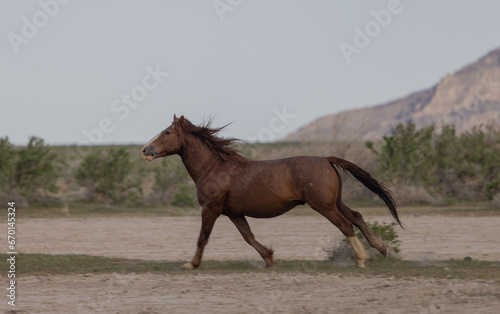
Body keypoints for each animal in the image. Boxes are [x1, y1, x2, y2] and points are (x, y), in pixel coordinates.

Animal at [142, 114, 402, 268]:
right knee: (356, 217)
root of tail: (326, 159)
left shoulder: (211, 209)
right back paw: (382, 248)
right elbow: (248, 237)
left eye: (167, 132)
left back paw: (362, 259)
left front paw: (192, 264)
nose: (145, 150)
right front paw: (269, 258)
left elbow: (203, 237)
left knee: (346, 225)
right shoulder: (233, 212)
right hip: (334, 202)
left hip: (323, 206)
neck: (214, 167)